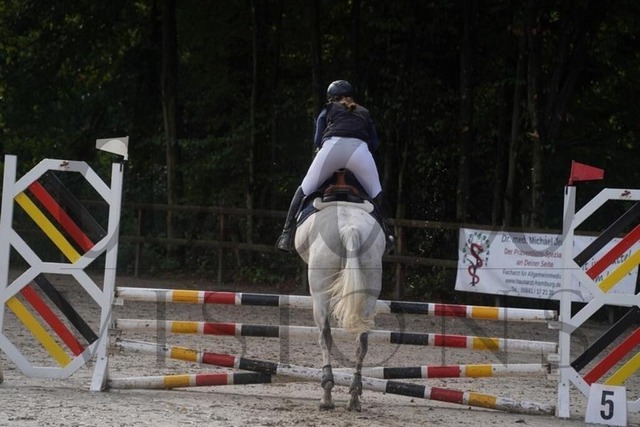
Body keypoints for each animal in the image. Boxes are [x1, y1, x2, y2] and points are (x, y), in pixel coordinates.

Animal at [294, 178, 385, 412]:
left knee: (325, 335)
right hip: (369, 290)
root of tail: (349, 228)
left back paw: (326, 396)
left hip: (319, 294)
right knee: (362, 340)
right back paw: (354, 397)